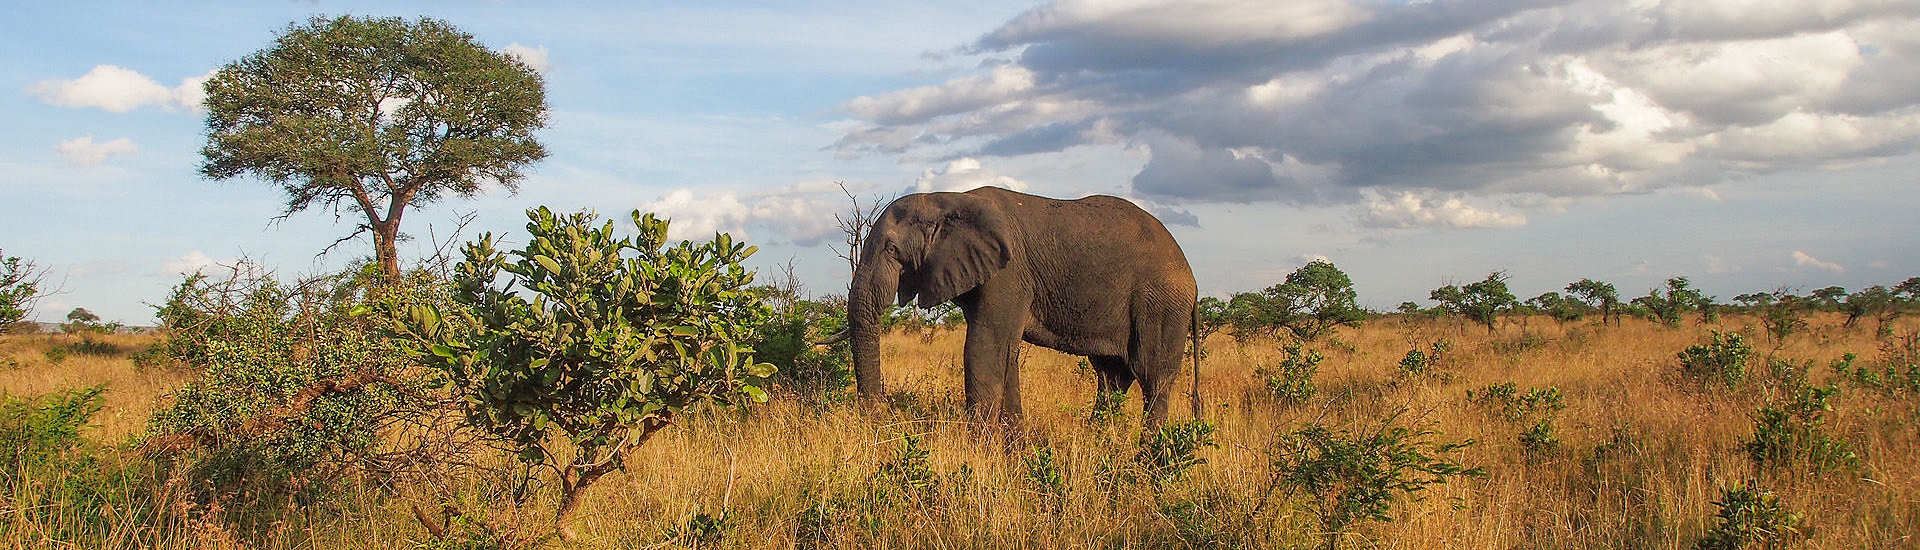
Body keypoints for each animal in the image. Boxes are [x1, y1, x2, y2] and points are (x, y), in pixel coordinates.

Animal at [844, 184, 1190, 425]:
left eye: (891, 249)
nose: (881, 415)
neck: (947, 198)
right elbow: (1005, 354)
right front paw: (1014, 452)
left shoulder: (1008, 275)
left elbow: (984, 351)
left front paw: (979, 455)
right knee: (1111, 378)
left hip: (1161, 304)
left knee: (1153, 378)